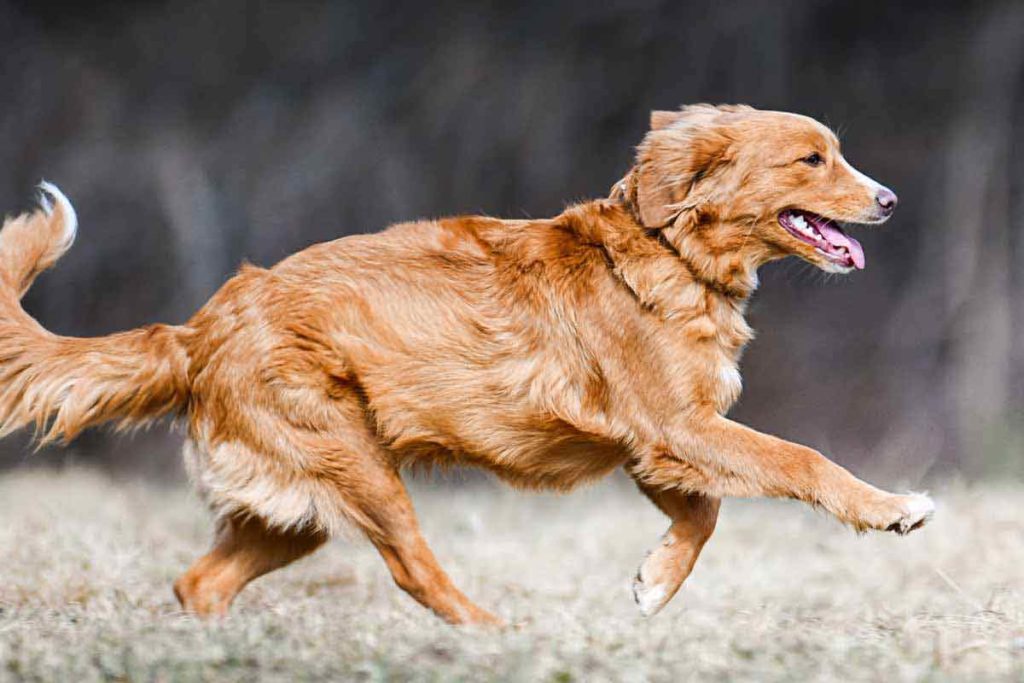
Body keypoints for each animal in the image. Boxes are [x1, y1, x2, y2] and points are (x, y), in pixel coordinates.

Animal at [0, 104, 933, 622]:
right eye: (813, 158)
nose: (892, 198)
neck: (672, 251)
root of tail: (196, 330)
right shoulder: (678, 427)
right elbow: (801, 459)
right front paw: (892, 507)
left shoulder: (655, 446)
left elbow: (701, 519)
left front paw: (654, 582)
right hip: (360, 472)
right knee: (416, 571)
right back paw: (492, 636)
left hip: (293, 513)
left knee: (199, 581)